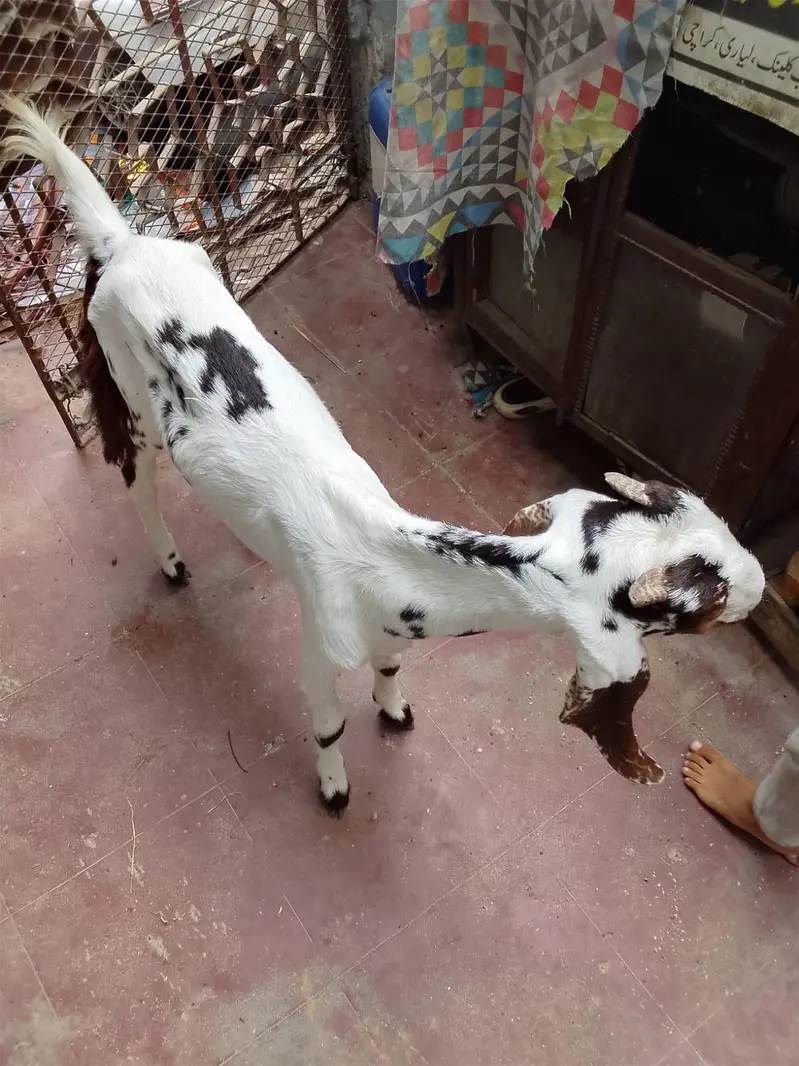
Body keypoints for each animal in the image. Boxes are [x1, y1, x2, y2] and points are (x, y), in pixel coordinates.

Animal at [1, 97, 765, 813]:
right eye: (701, 601)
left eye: (708, 522)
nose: (759, 584)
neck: (378, 553)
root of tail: (119, 243)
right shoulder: (318, 650)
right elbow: (328, 724)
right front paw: (334, 788)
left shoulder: (394, 629)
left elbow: (392, 670)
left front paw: (394, 709)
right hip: (129, 393)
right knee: (135, 479)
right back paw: (167, 560)